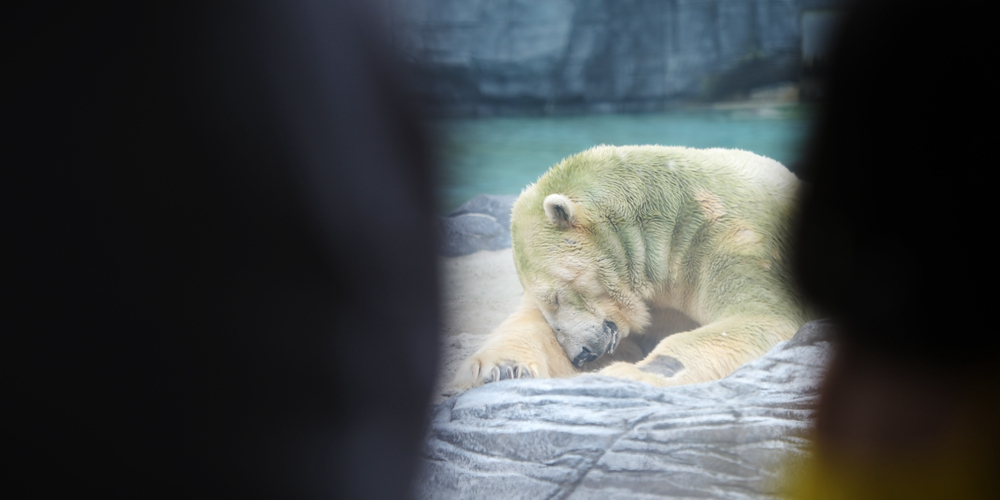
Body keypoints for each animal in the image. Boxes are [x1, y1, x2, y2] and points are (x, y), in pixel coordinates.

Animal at [454, 146, 812, 390]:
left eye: (555, 296)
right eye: (546, 302)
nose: (580, 354)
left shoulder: (733, 245)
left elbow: (760, 318)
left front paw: (627, 373)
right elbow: (527, 324)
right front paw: (500, 368)